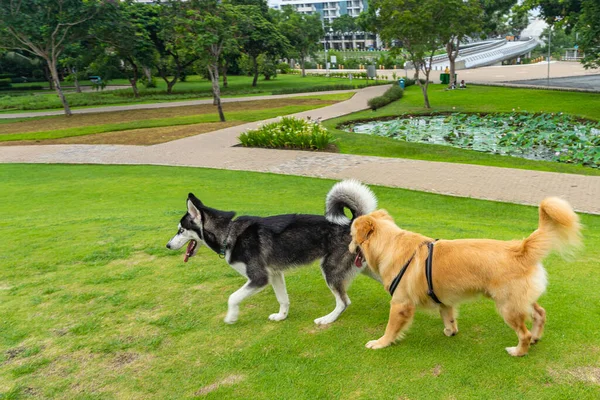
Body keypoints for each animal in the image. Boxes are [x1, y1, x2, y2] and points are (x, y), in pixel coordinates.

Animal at [166, 181, 378, 324]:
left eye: (180, 230)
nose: (167, 245)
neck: (229, 233)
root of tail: (353, 223)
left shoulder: (259, 278)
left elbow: (233, 297)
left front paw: (231, 317)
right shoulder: (275, 274)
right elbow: (283, 299)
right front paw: (281, 316)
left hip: (331, 272)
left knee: (344, 302)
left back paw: (327, 319)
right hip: (369, 269)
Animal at [350, 198, 580, 358]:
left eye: (352, 236)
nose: (348, 247)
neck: (391, 244)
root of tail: (519, 248)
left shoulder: (400, 304)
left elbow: (391, 328)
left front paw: (381, 343)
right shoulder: (443, 299)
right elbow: (448, 315)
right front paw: (451, 330)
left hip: (507, 306)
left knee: (523, 333)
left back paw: (519, 351)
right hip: (519, 300)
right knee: (540, 313)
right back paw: (536, 337)